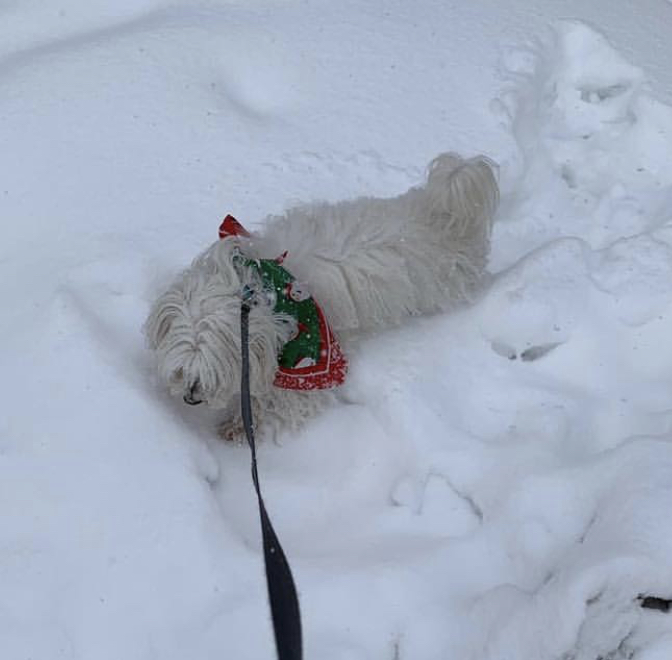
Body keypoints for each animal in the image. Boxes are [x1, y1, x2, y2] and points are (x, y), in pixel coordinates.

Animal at [146, 152, 498, 436]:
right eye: (183, 367)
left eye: (214, 371)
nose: (191, 396)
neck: (268, 288)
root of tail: (444, 216)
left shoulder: (308, 368)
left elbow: (282, 402)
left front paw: (237, 427)